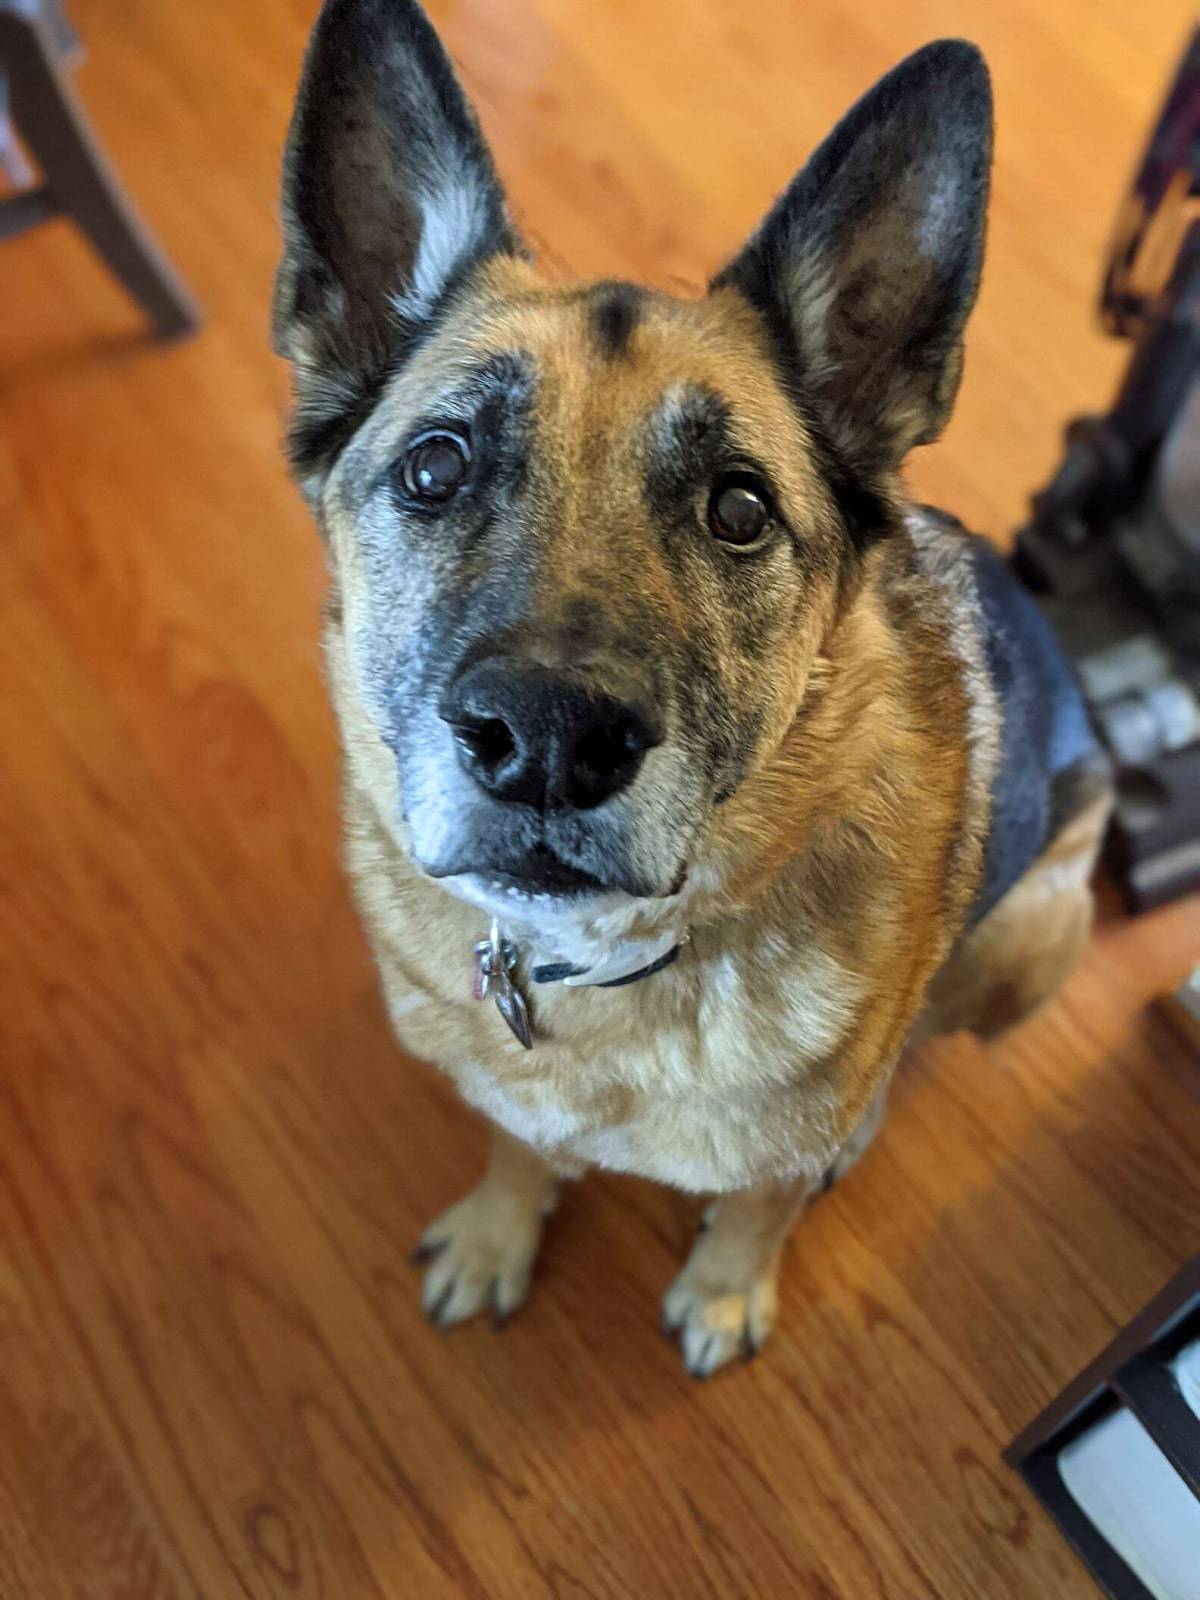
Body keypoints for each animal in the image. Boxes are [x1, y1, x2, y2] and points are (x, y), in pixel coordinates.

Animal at [272, 0, 1107, 1376]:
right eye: (437, 467)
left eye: (739, 510)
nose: (547, 741)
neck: (607, 969)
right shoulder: (512, 1082)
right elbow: (517, 1140)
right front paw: (501, 1228)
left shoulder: (782, 1142)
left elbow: (762, 1201)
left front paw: (724, 1288)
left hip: (1032, 936)